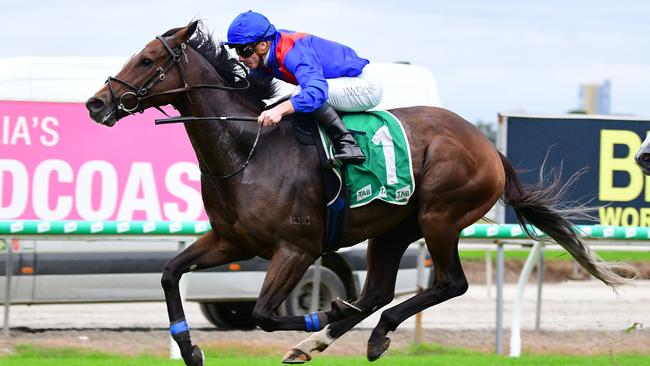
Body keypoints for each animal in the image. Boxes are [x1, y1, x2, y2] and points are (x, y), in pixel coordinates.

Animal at [86, 21, 632, 364]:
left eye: (148, 60)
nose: (96, 103)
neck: (250, 150)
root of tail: (489, 147)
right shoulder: (231, 241)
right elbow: (169, 273)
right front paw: (190, 349)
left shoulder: (297, 248)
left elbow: (264, 314)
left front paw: (321, 313)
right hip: (392, 229)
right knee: (377, 292)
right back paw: (339, 336)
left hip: (441, 217)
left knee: (449, 284)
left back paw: (351, 331)